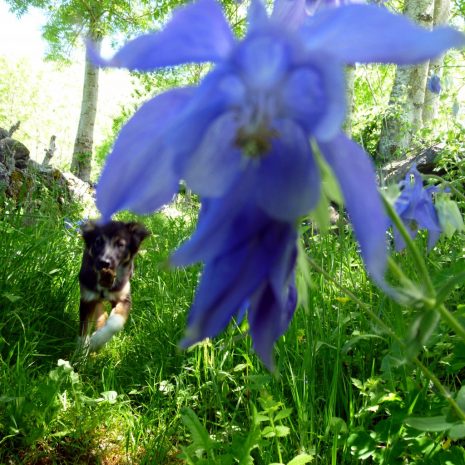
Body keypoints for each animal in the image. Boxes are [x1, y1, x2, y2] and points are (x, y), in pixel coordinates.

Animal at [76, 219, 149, 350]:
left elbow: (115, 323)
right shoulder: (88, 298)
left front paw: (97, 340)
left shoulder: (124, 298)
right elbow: (84, 328)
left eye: (120, 245)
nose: (104, 262)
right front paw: (82, 349)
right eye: (98, 242)